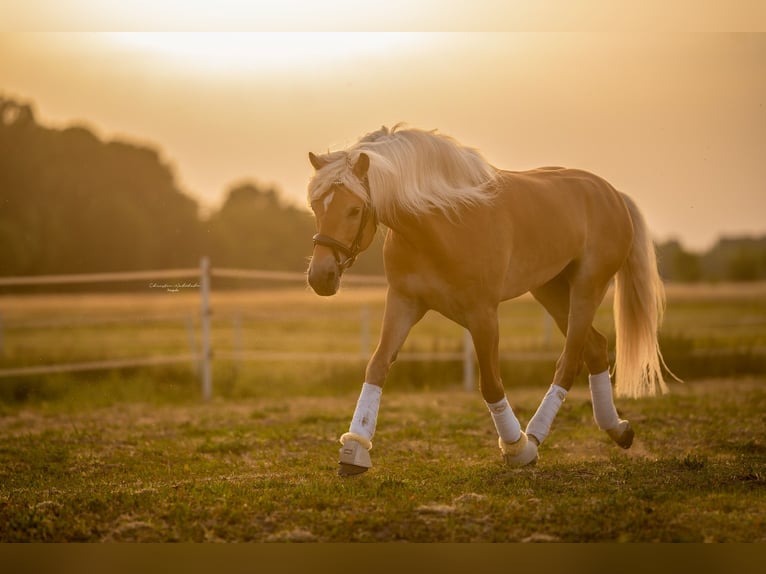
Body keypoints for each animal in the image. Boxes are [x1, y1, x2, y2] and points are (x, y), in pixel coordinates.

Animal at [304, 125, 676, 476]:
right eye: (315, 206)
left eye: (354, 209)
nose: (320, 278)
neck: (442, 222)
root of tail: (612, 193)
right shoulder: (403, 303)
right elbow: (377, 366)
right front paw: (354, 450)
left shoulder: (482, 314)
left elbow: (491, 385)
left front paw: (517, 449)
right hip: (551, 290)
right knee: (596, 348)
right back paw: (618, 429)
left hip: (587, 287)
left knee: (569, 362)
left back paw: (535, 436)